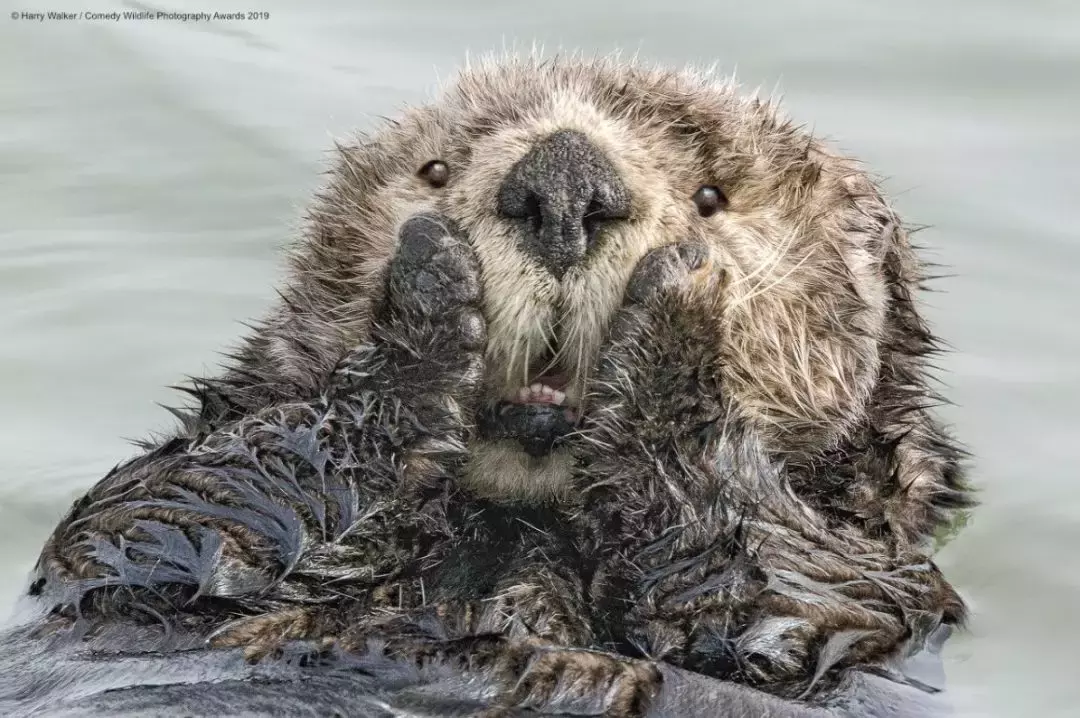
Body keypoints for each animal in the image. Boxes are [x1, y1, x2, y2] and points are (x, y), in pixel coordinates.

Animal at [2, 56, 972, 716]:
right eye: (435, 170)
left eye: (711, 196)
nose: (565, 182)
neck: (516, 527)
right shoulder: (125, 556)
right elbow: (162, 518)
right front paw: (428, 286)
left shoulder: (876, 592)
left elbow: (767, 594)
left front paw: (680, 307)